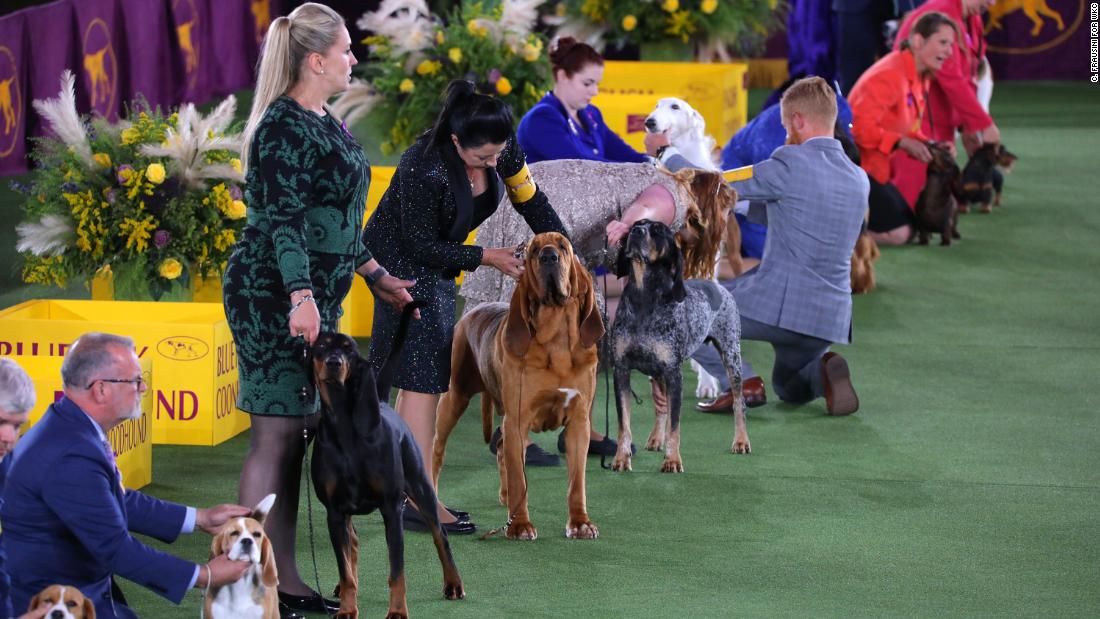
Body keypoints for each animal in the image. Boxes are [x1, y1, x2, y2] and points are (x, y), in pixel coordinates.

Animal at [431, 233, 602, 543]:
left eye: (563, 246)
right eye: (533, 250)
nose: (548, 257)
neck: (557, 340)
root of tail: (472, 311)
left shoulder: (578, 423)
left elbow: (577, 482)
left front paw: (580, 523)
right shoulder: (519, 420)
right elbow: (520, 477)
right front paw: (520, 525)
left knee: (500, 448)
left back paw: (505, 496)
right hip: (454, 400)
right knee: (437, 451)